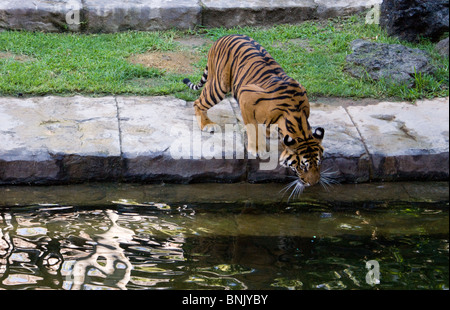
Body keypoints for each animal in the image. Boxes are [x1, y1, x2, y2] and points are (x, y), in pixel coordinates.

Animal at [185, 34, 326, 186]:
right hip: (219, 85)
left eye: (319, 163)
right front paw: (257, 149)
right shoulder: (246, 95)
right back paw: (207, 124)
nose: (314, 183)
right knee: (198, 103)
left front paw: (272, 132)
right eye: (303, 166)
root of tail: (224, 36)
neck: (295, 114)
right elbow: (253, 126)